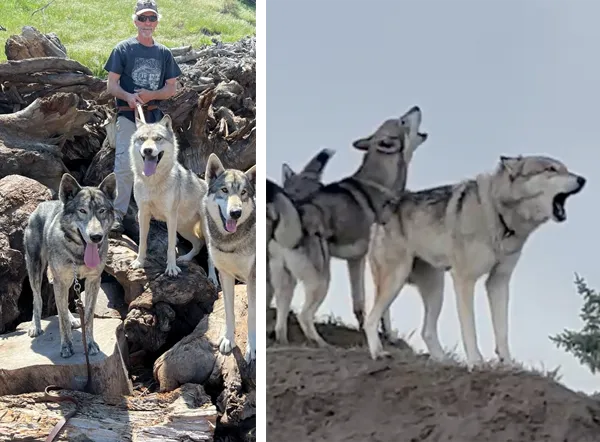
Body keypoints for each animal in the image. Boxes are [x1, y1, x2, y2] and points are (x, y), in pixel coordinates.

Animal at [25, 171, 118, 358]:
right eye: (82, 211)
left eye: (102, 211)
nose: (96, 237)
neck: (79, 255)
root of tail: (42, 205)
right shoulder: (61, 280)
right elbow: (61, 319)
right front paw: (66, 346)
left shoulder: (93, 281)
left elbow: (88, 317)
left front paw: (90, 344)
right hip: (36, 269)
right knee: (37, 298)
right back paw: (35, 326)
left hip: (62, 280)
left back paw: (73, 318)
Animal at [129, 115, 218, 284]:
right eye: (142, 139)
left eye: (158, 138)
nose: (147, 150)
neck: (153, 182)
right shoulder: (143, 214)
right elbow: (142, 242)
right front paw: (139, 262)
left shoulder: (170, 217)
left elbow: (170, 247)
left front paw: (171, 269)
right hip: (182, 227)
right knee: (198, 243)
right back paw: (185, 258)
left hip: (203, 230)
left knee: (209, 255)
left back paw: (212, 278)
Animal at [270, 106, 428, 346]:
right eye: (402, 121)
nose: (416, 107)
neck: (379, 183)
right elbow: (384, 308)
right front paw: (389, 336)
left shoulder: (356, 261)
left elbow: (360, 303)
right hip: (320, 281)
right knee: (304, 315)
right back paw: (321, 344)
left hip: (286, 282)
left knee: (281, 319)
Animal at [366, 155, 584, 366]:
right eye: (551, 169)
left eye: (566, 169)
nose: (582, 179)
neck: (499, 215)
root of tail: (383, 212)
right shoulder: (464, 279)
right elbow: (469, 327)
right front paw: (475, 362)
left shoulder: (499, 281)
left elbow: (502, 330)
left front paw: (508, 363)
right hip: (397, 279)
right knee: (370, 319)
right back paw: (378, 353)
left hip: (436, 289)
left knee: (426, 330)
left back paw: (444, 361)